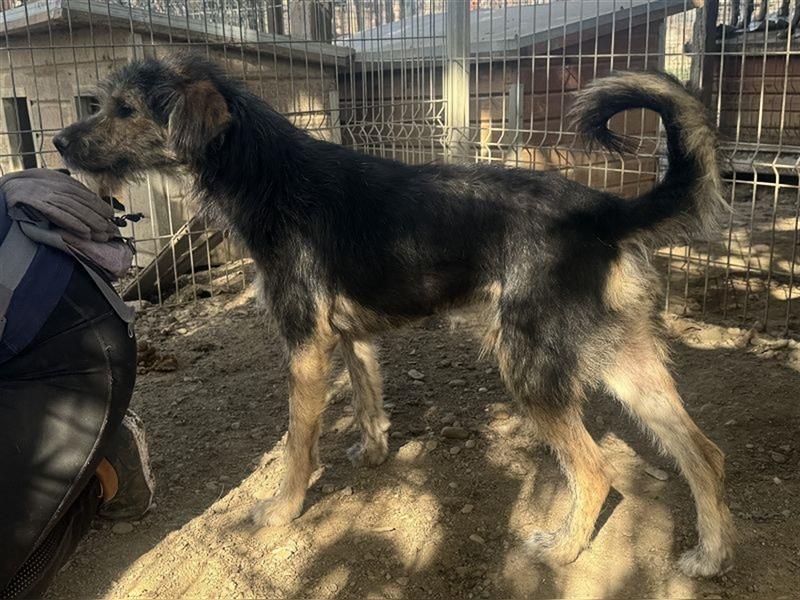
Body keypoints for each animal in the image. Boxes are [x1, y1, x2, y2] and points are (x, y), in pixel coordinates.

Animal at [53, 55, 736, 576]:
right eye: (102, 103)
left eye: (125, 109)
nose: (58, 142)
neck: (267, 174)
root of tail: (605, 210)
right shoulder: (351, 339)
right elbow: (367, 400)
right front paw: (375, 455)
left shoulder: (303, 343)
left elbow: (297, 441)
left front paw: (282, 509)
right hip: (620, 355)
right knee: (703, 450)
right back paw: (709, 556)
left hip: (530, 363)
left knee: (595, 471)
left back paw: (563, 550)